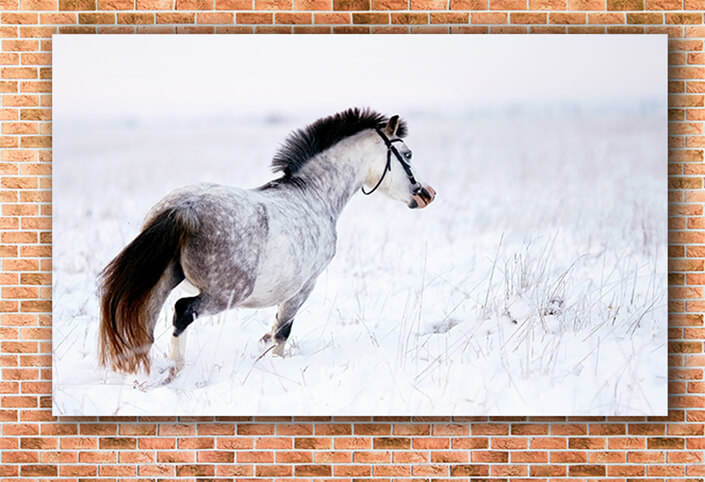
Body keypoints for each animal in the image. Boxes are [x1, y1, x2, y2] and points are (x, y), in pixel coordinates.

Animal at [98, 107, 436, 376]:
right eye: (407, 155)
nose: (426, 194)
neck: (313, 195)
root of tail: (185, 208)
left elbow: (275, 327)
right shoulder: (304, 286)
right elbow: (282, 331)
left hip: (163, 281)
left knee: (146, 323)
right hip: (224, 294)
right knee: (182, 312)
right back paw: (177, 369)